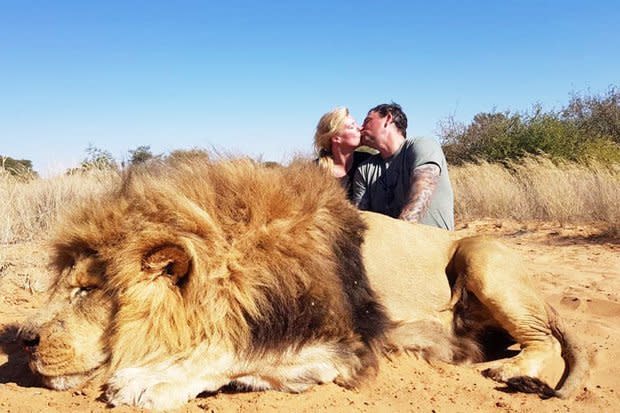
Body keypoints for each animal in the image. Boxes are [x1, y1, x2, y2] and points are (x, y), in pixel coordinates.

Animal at [19, 154, 588, 408]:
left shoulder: (349, 343)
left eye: (87, 289)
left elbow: (233, 349)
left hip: (480, 254)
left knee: (544, 342)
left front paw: (149, 381)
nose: (25, 339)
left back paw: (512, 371)